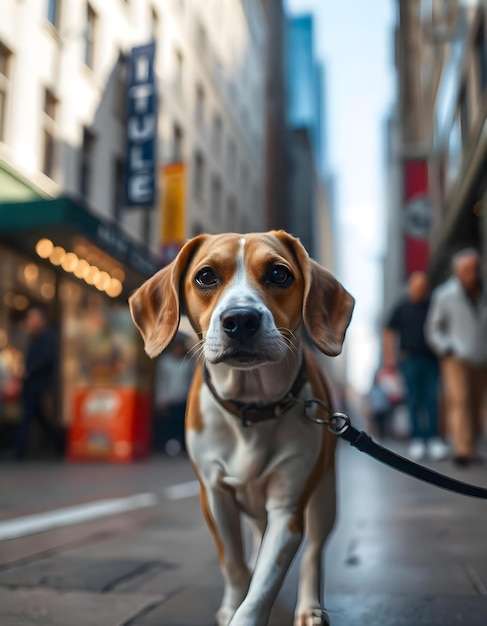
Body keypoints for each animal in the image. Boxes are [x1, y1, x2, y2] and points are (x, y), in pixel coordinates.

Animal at [129, 230, 354, 624]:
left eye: (279, 274)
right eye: (205, 276)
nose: (241, 319)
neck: (250, 409)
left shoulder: (287, 508)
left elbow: (264, 584)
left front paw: (246, 609)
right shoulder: (215, 497)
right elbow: (233, 564)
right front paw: (233, 601)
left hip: (325, 497)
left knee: (314, 552)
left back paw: (310, 606)